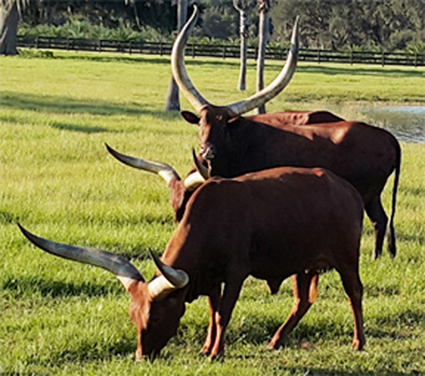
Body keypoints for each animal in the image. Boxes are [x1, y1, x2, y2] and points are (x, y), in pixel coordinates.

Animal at [18, 166, 364, 360]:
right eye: (132, 316)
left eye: (156, 317)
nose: (142, 357)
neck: (210, 218)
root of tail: (347, 189)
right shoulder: (210, 277)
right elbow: (212, 312)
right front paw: (206, 348)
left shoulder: (235, 272)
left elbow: (224, 314)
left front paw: (216, 353)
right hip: (302, 265)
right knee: (303, 300)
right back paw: (275, 341)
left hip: (347, 258)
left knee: (354, 293)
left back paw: (358, 343)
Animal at [171, 6, 400, 258]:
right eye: (201, 124)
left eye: (224, 125)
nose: (207, 151)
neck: (239, 143)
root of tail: (389, 137)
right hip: (373, 195)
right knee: (381, 219)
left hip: (366, 193)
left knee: (377, 221)